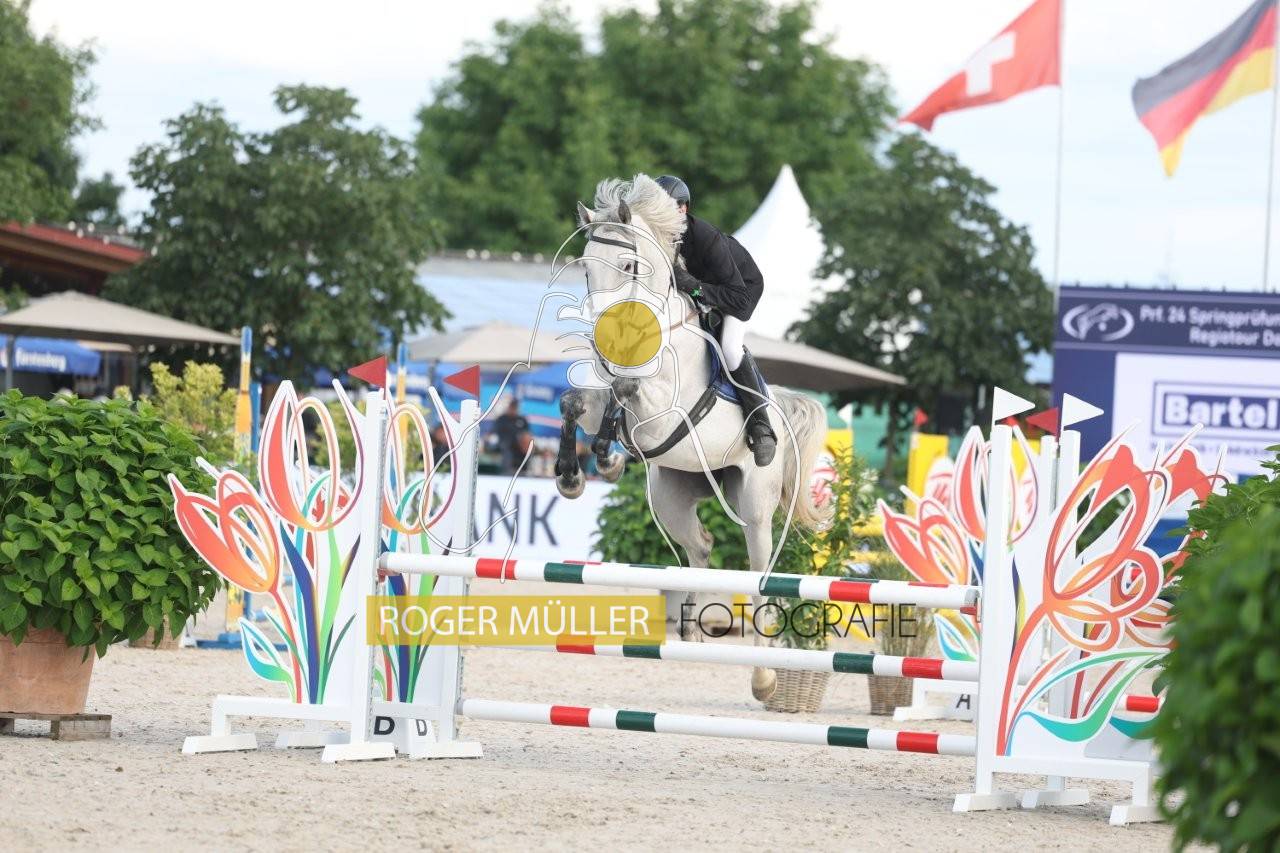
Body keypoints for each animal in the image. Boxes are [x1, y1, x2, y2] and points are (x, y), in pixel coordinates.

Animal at [552, 174, 832, 700]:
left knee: (759, 575)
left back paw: (764, 679)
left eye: (628, 266)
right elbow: (575, 402)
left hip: (755, 505)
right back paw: (691, 629)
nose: (599, 338)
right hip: (672, 495)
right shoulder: (612, 405)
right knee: (700, 545)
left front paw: (605, 457)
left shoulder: (665, 411)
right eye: (585, 267)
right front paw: (572, 476)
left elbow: (625, 389)